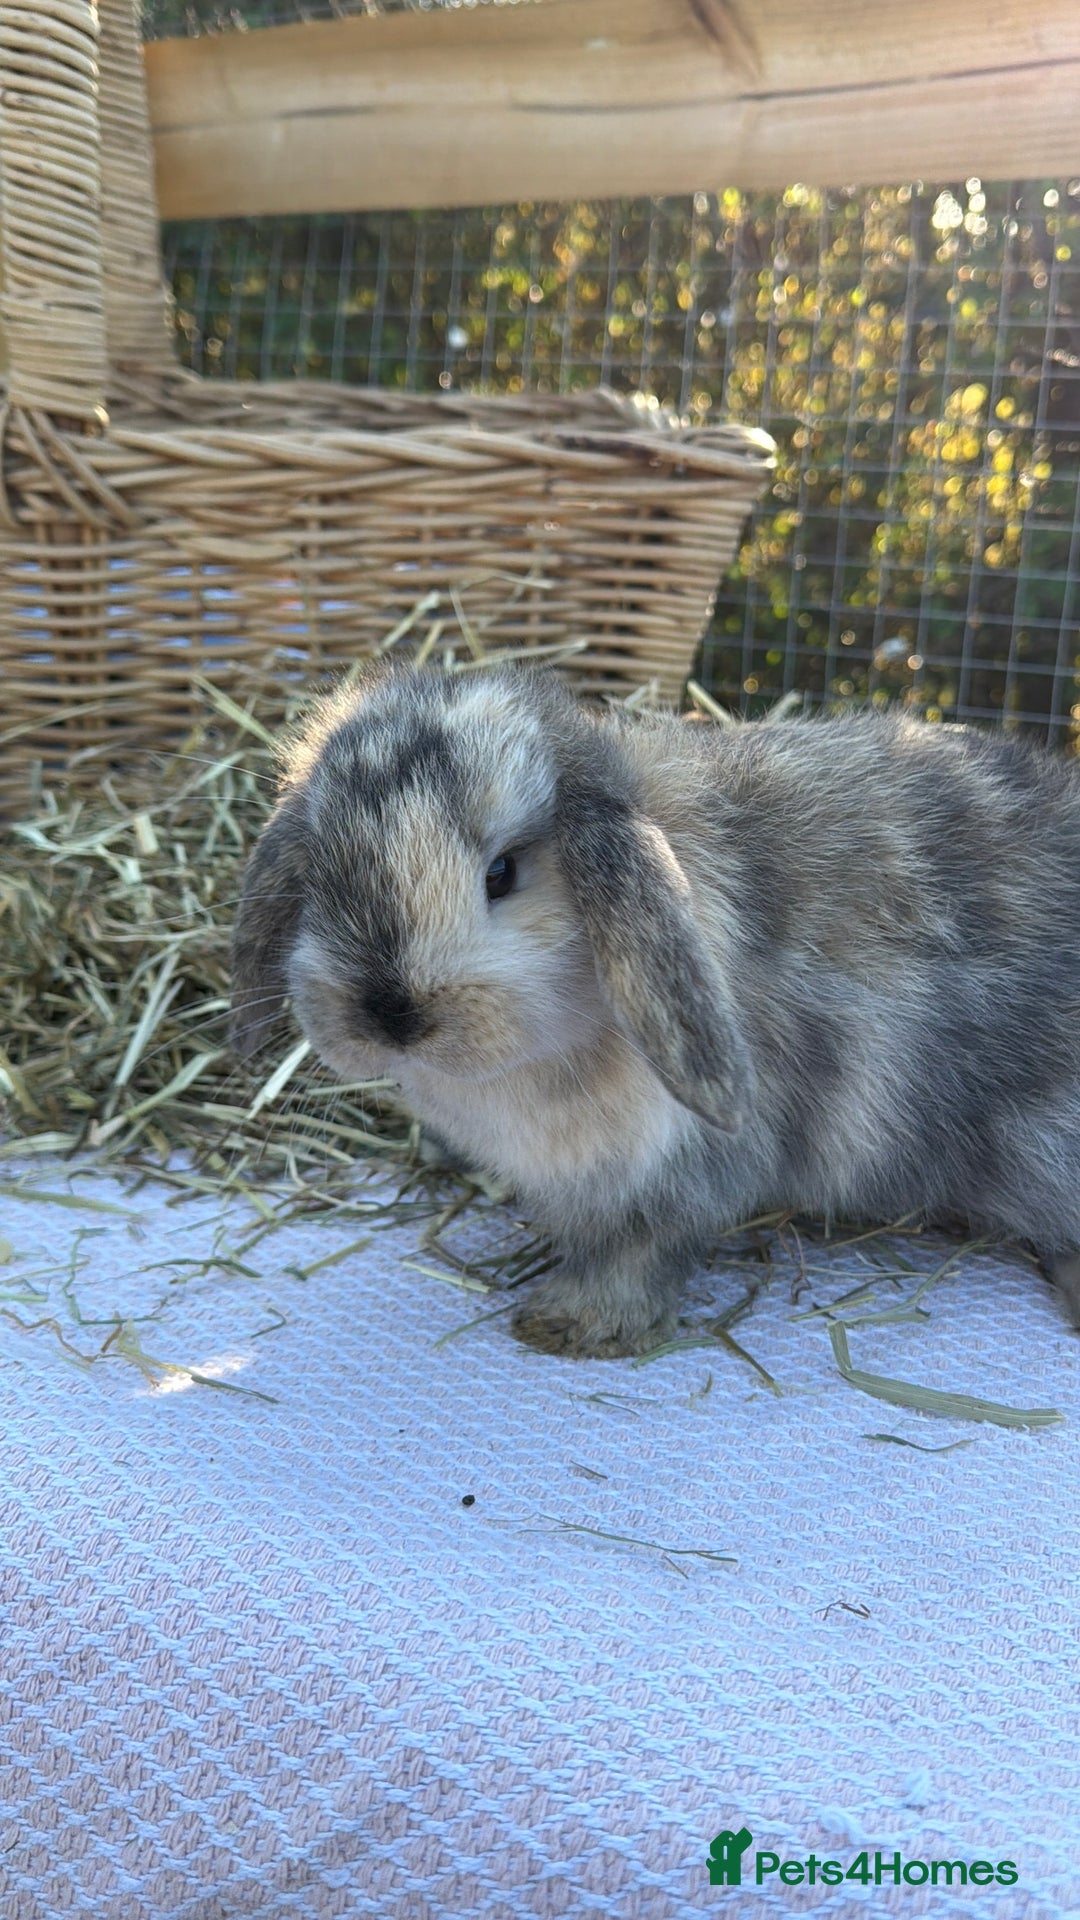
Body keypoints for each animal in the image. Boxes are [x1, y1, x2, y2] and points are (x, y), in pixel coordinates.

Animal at [230, 663, 1080, 1357]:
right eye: (320, 873)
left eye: (502, 873)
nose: (388, 1016)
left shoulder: (681, 1177)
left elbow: (642, 1252)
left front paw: (572, 1325)